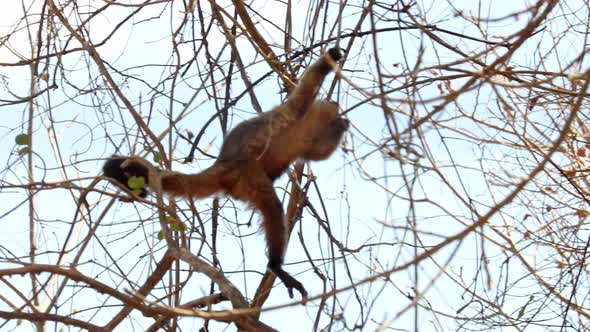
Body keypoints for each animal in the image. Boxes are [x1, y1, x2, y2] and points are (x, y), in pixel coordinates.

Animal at [104, 48, 350, 300]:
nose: (341, 117)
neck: (303, 130)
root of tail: (222, 165)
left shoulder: (310, 141)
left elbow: (320, 152)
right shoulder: (295, 110)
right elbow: (307, 86)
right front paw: (330, 59)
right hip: (247, 175)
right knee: (271, 205)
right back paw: (275, 265)